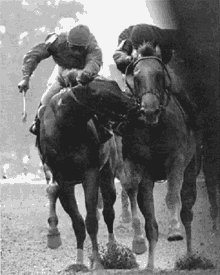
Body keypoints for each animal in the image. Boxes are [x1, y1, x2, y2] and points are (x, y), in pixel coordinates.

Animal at [35, 72, 137, 272]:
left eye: (115, 85)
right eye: (101, 96)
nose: (135, 104)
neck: (65, 126)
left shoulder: (90, 174)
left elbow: (91, 220)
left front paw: (97, 261)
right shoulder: (63, 181)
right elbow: (78, 223)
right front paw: (79, 261)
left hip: (107, 173)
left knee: (109, 211)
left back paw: (113, 249)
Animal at [119, 42, 202, 270]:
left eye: (159, 75)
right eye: (137, 77)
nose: (150, 111)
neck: (154, 129)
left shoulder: (176, 160)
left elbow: (172, 196)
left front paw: (174, 230)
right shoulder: (141, 168)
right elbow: (148, 219)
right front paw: (143, 253)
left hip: (192, 167)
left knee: (188, 211)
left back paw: (190, 257)